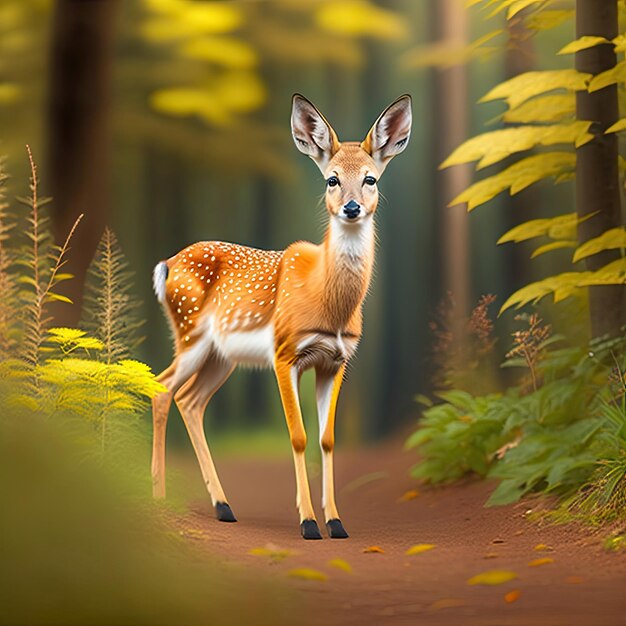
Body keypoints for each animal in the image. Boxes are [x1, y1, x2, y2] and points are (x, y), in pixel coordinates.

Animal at [152, 92, 410, 536]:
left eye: (371, 179)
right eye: (331, 179)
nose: (352, 208)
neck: (329, 304)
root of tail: (167, 263)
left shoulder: (336, 360)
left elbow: (327, 439)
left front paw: (336, 522)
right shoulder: (285, 353)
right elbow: (298, 436)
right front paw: (307, 523)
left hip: (221, 356)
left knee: (189, 400)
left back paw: (224, 506)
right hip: (190, 333)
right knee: (161, 388)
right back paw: (158, 496)